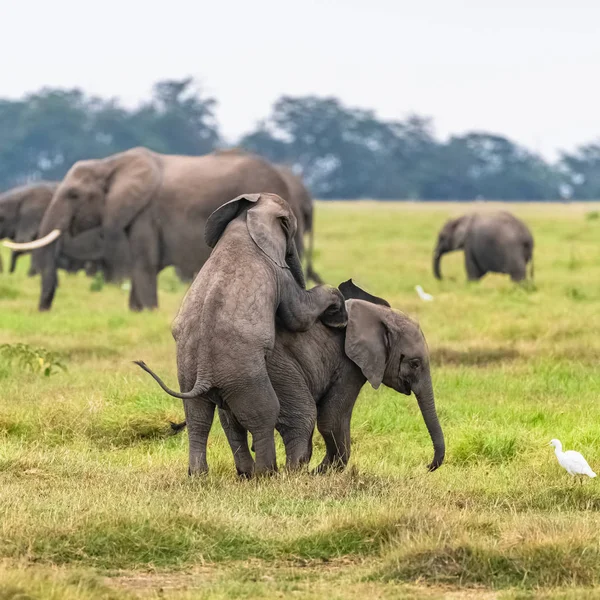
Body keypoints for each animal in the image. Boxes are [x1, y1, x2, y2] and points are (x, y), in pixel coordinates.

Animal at [7, 148, 308, 312]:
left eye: (73, 195)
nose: (43, 311)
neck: (110, 163)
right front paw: (137, 312)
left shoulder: (145, 215)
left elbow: (144, 265)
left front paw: (148, 311)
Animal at [133, 195, 344, 476]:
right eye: (290, 228)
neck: (246, 217)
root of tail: (204, 374)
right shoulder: (278, 271)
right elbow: (298, 314)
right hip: (244, 374)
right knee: (264, 413)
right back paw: (266, 473)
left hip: (188, 372)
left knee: (199, 418)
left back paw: (202, 476)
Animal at [149, 278, 446, 476]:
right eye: (414, 363)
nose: (427, 466)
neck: (377, 315)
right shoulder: (349, 365)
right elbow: (331, 418)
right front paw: (323, 473)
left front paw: (323, 472)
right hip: (276, 370)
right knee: (301, 414)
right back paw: (290, 473)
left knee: (222, 421)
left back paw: (240, 475)